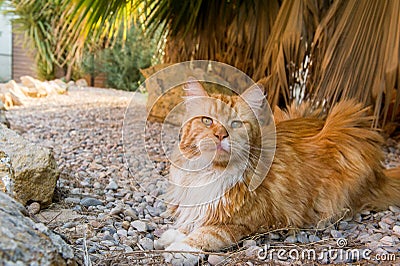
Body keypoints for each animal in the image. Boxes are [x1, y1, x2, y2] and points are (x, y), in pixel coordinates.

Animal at [157, 78, 400, 264]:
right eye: (207, 121)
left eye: (236, 124)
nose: (220, 135)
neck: (209, 172)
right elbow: (191, 220)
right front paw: (173, 234)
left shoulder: (240, 222)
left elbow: (205, 234)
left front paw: (180, 248)